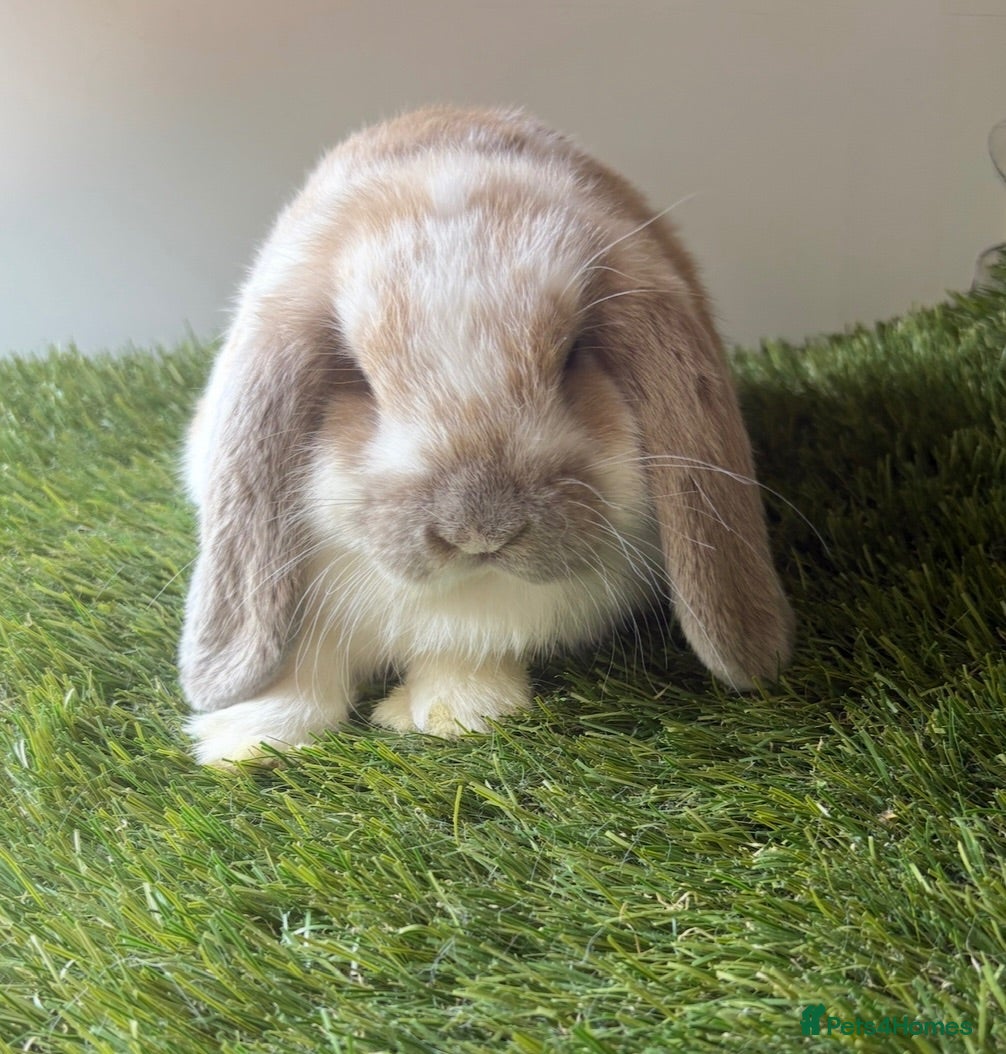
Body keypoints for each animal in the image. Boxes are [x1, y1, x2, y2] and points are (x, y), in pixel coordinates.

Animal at [180, 105, 794, 765]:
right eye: (357, 376)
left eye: (573, 356)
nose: (479, 531)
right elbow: (300, 664)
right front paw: (243, 740)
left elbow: (466, 652)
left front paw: (447, 714)